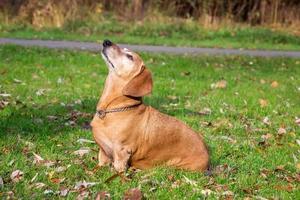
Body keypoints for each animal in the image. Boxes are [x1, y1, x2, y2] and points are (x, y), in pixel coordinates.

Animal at [90, 39, 210, 173]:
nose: (107, 41)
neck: (111, 110)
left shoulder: (122, 152)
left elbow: (119, 168)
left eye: (130, 56)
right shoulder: (103, 152)